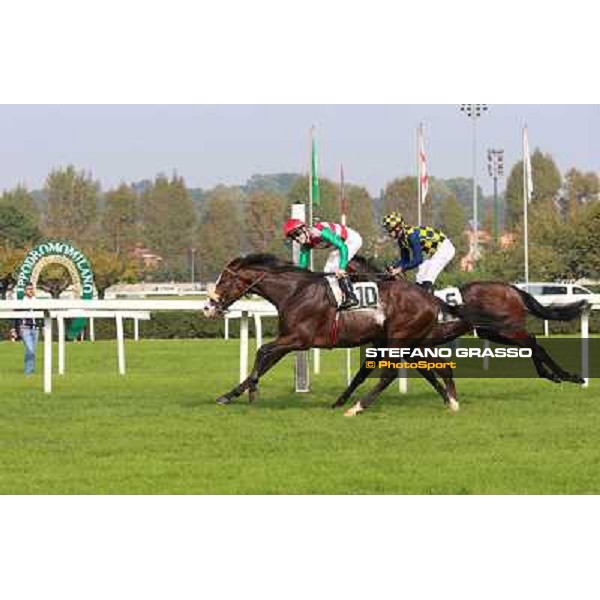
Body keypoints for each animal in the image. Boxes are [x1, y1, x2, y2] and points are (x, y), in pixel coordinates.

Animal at [203, 253, 506, 418]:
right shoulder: (289, 339)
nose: (207, 307)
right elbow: (265, 359)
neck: (295, 292)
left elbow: (261, 351)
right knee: (437, 368)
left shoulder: (299, 338)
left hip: (398, 339)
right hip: (413, 342)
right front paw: (229, 395)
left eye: (224, 280)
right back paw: (451, 401)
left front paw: (252, 392)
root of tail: (432, 300)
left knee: (390, 374)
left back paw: (356, 407)